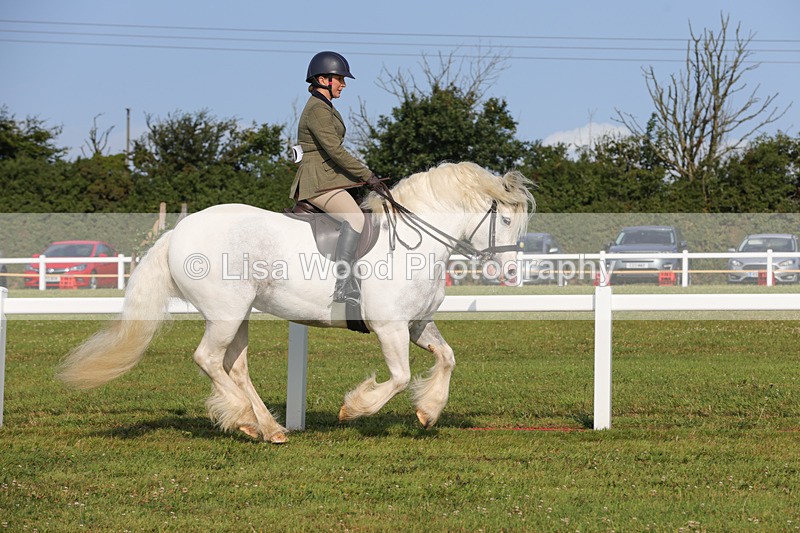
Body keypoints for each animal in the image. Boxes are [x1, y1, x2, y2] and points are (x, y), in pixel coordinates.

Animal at [57, 161, 534, 444]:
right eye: (508, 219)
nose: (512, 274)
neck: (414, 242)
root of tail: (178, 232)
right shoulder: (390, 327)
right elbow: (399, 377)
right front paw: (353, 408)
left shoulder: (417, 324)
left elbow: (448, 358)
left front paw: (428, 412)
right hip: (226, 313)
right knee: (208, 359)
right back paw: (244, 418)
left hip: (239, 315)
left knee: (234, 366)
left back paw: (268, 427)